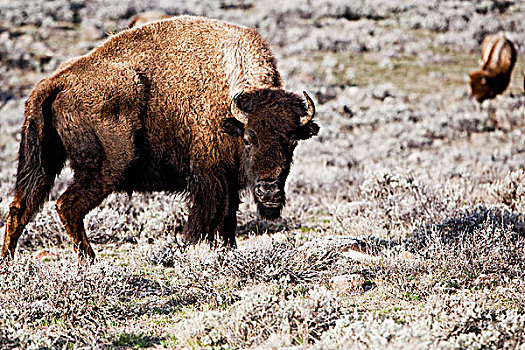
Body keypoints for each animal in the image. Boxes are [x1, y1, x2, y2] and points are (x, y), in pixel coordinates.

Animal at [1, 16, 320, 262]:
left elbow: (227, 221)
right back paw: (90, 261)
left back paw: (9, 261)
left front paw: (228, 251)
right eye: (250, 138)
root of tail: (56, 82)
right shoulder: (210, 176)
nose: (269, 192)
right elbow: (204, 221)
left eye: (292, 141)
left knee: (20, 207)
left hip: (42, 161)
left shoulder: (228, 182)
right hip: (105, 166)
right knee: (67, 205)